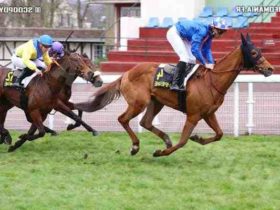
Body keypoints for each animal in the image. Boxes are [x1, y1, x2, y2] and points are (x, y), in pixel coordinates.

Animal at [74, 33, 274, 157]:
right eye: (254, 52)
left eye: (260, 51)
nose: (270, 68)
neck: (212, 81)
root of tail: (126, 73)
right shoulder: (193, 115)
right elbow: (184, 141)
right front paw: (160, 152)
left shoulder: (209, 113)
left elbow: (219, 134)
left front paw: (198, 138)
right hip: (139, 102)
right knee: (123, 119)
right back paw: (135, 146)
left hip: (156, 102)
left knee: (145, 122)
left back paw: (166, 139)